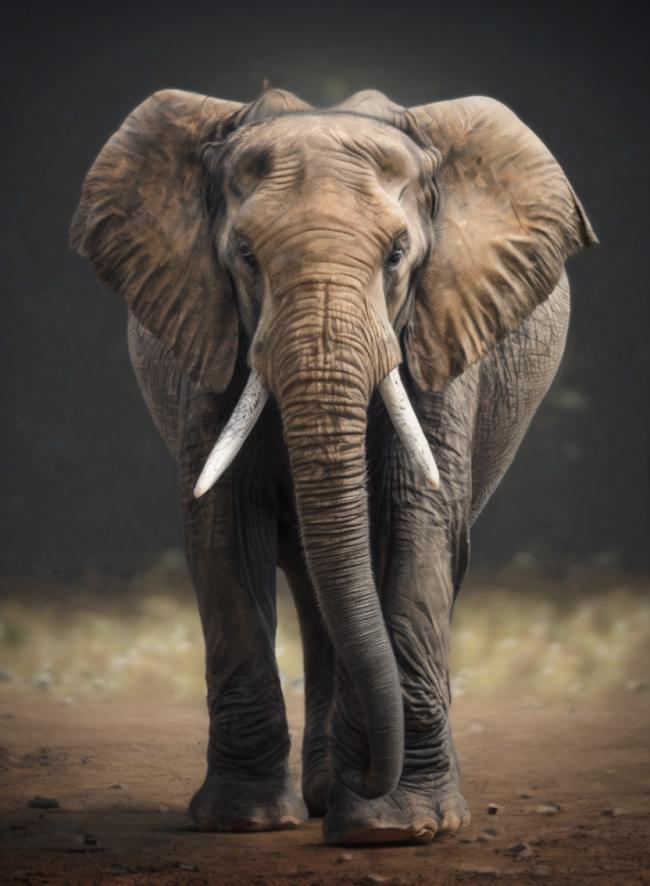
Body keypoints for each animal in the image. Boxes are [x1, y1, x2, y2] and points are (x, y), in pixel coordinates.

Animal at [70, 86, 596, 845]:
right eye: (245, 255)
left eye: (399, 255)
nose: (378, 774)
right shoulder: (209, 332)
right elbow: (223, 523)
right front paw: (243, 821)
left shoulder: (439, 328)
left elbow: (413, 519)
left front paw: (394, 825)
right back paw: (323, 791)